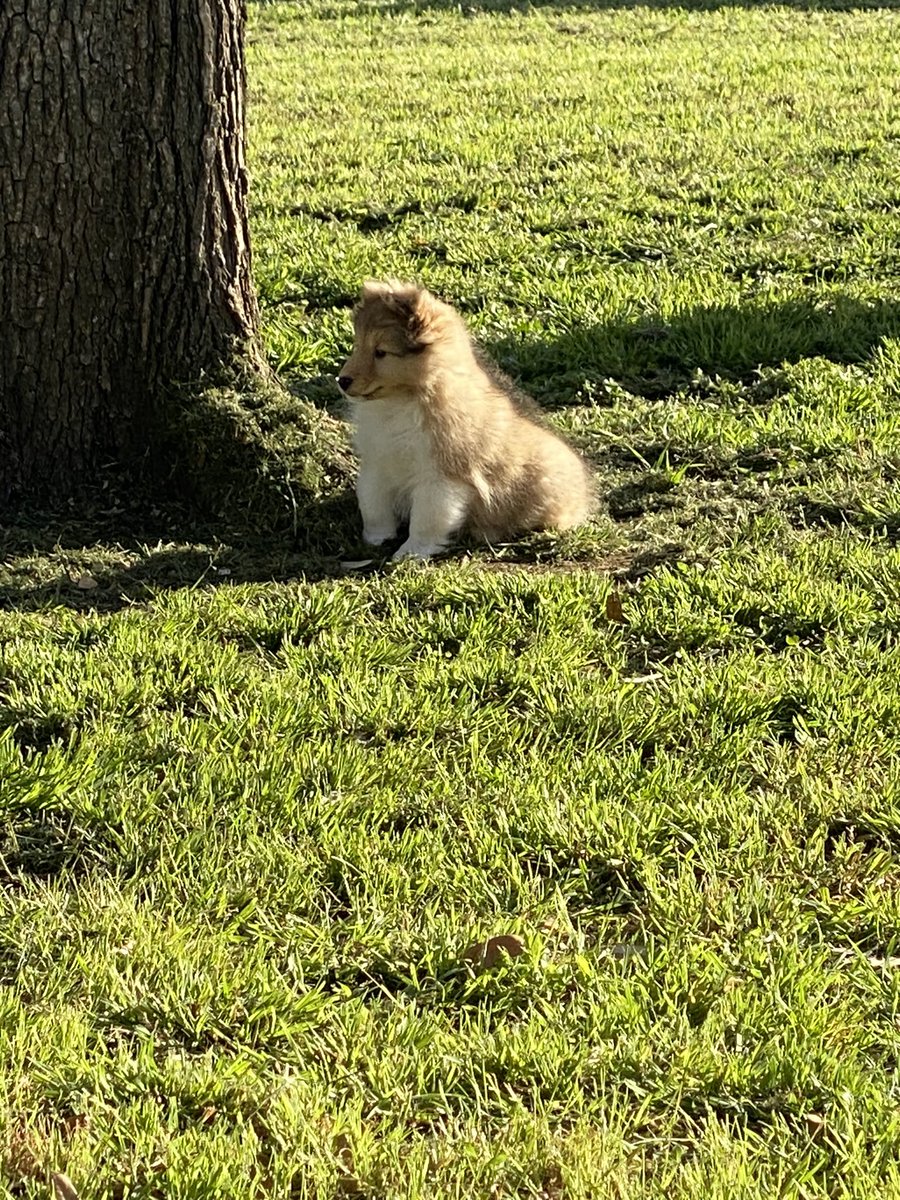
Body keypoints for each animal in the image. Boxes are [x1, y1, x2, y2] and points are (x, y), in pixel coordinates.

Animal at [336, 283, 592, 559]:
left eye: (381, 352)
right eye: (358, 346)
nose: (342, 380)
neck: (402, 400)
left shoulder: (441, 476)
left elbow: (426, 518)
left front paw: (410, 552)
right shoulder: (378, 462)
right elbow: (372, 504)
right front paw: (375, 539)